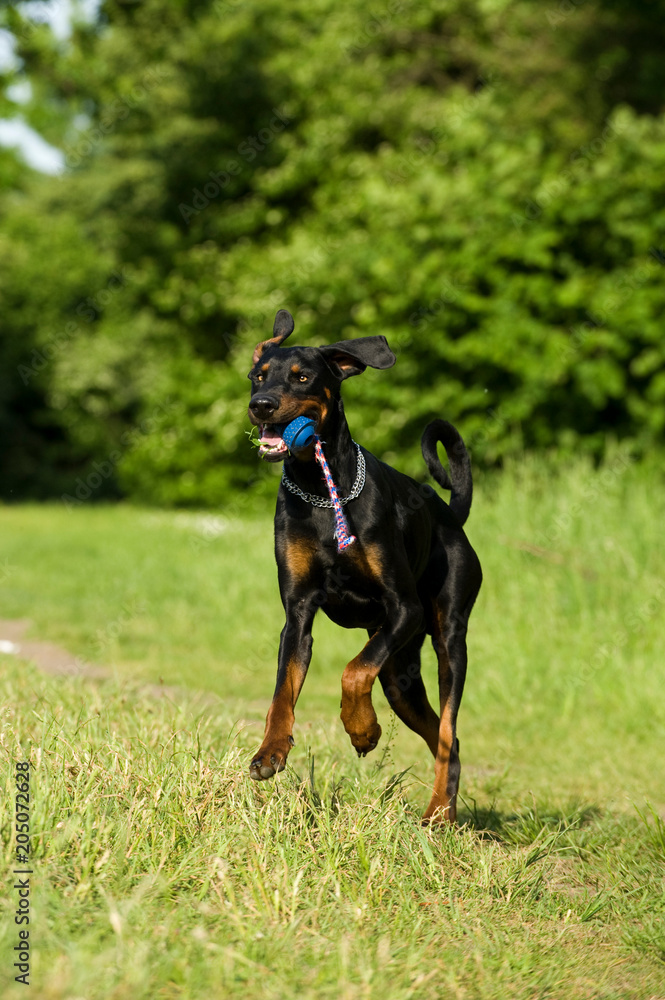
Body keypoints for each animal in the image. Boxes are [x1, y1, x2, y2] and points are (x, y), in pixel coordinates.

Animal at [246, 308, 480, 824]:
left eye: (302, 377)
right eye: (257, 376)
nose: (261, 405)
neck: (320, 488)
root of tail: (451, 516)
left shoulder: (404, 607)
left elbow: (353, 671)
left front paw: (362, 729)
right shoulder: (298, 613)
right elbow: (281, 693)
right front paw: (270, 752)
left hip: (447, 639)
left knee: (448, 727)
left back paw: (438, 812)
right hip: (399, 675)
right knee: (444, 738)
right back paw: (444, 812)